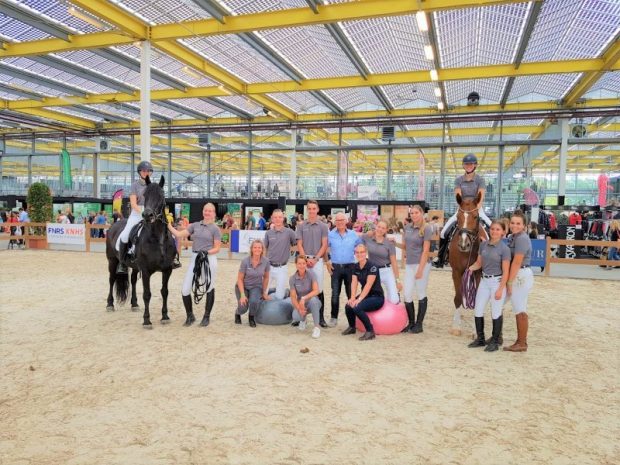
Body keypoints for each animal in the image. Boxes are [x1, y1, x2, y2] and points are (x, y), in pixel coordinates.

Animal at [104, 174, 177, 326]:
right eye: (145, 195)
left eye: (161, 195)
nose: (147, 215)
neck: (158, 240)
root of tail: (115, 223)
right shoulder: (146, 270)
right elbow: (147, 294)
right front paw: (147, 320)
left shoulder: (167, 269)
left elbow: (164, 292)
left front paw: (165, 316)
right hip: (112, 261)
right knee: (112, 279)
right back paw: (110, 304)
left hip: (134, 266)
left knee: (132, 280)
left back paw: (134, 304)